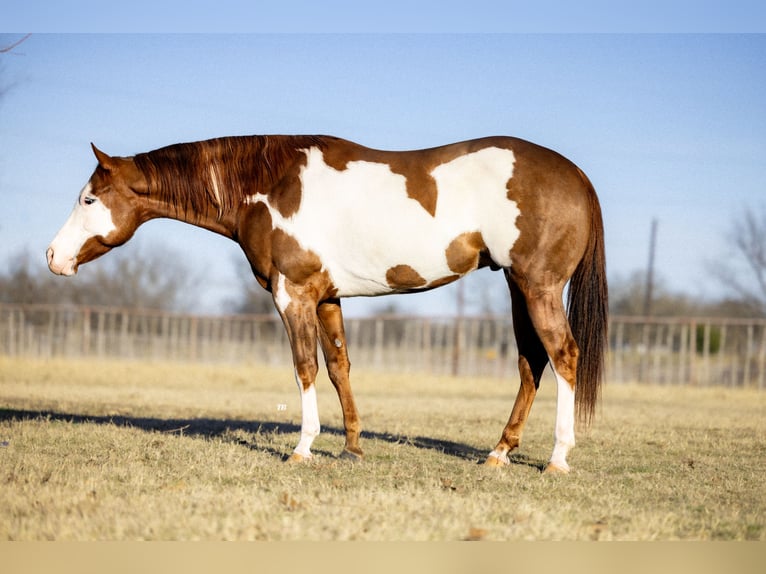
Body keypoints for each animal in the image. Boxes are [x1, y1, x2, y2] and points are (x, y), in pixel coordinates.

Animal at [49, 134, 612, 472]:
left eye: (89, 199)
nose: (53, 256)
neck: (268, 186)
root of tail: (576, 175)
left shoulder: (292, 293)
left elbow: (305, 368)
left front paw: (303, 448)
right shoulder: (328, 298)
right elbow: (340, 367)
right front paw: (352, 447)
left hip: (538, 286)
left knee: (564, 356)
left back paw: (558, 457)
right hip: (518, 287)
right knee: (531, 362)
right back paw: (499, 452)